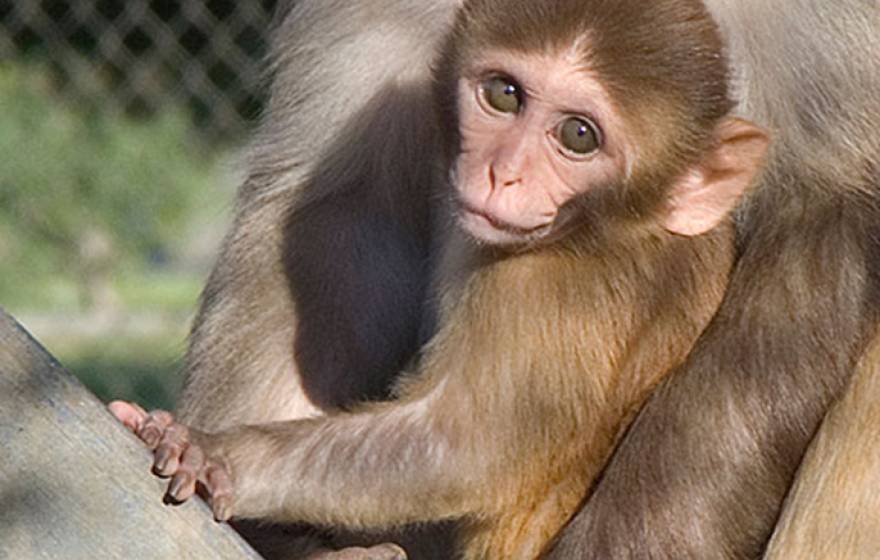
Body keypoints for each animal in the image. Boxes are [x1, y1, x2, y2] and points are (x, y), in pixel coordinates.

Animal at [109, 0, 773, 557]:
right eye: (504, 95)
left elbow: (464, 448)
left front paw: (221, 457)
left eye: (578, 135)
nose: (503, 173)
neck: (620, 226)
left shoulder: (540, 285)